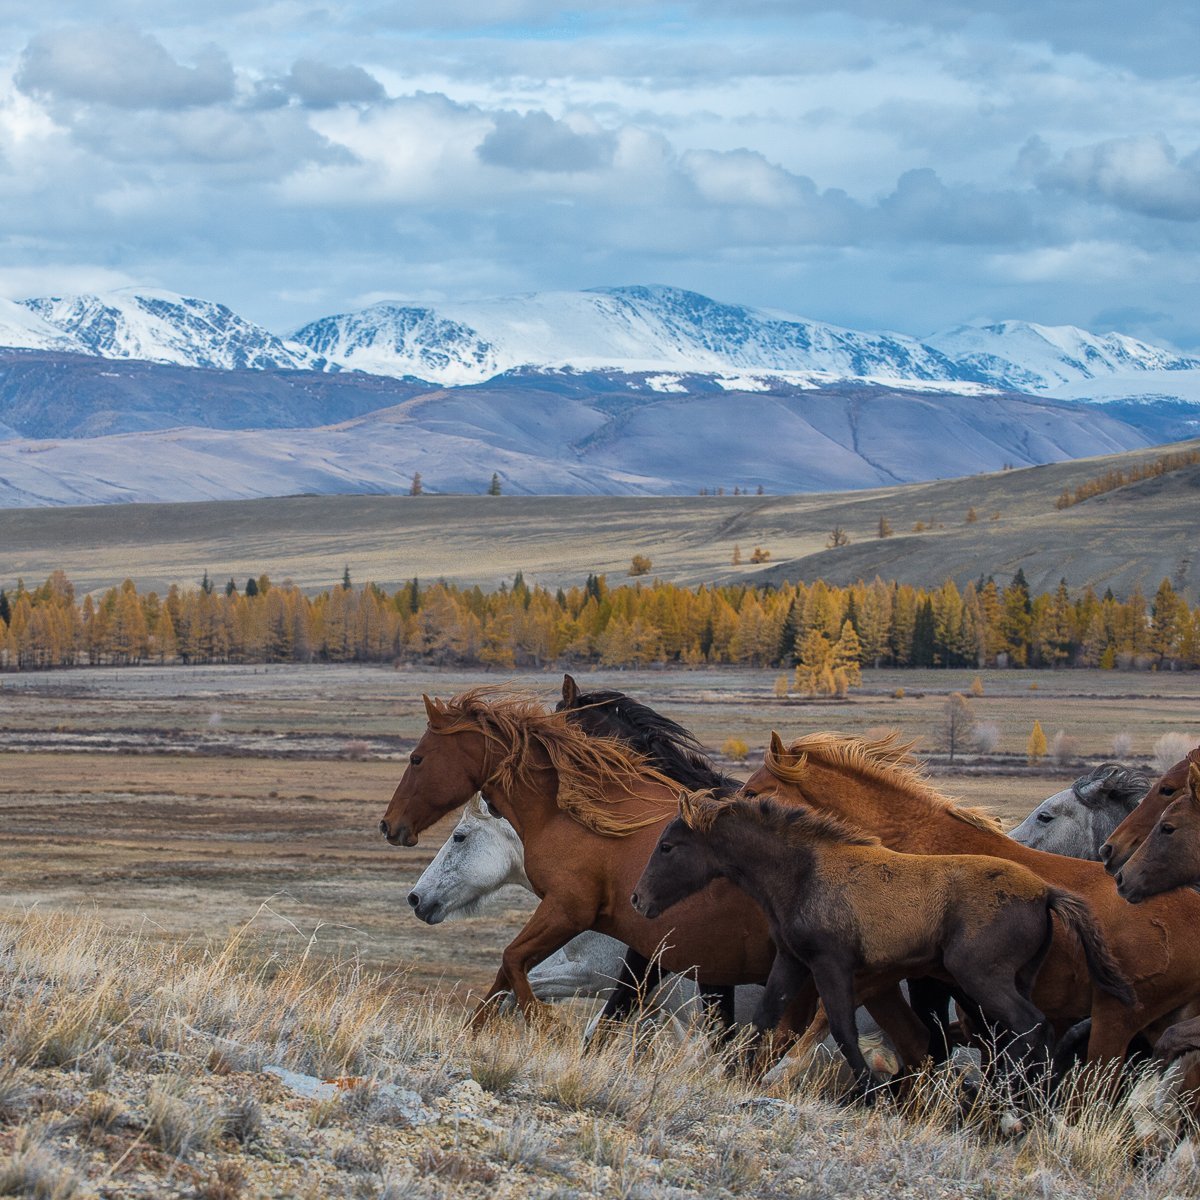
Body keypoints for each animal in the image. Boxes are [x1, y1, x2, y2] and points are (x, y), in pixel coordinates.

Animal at [633, 792, 1128, 1099]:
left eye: (668, 846)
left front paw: (869, 1090)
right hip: (1013, 979)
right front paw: (734, 1074)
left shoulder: (832, 964)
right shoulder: (794, 961)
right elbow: (765, 1018)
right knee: (1019, 1037)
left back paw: (1012, 1110)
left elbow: (840, 1027)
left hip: (980, 977)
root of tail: (1044, 892)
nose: (639, 899)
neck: (805, 872)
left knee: (1031, 1027)